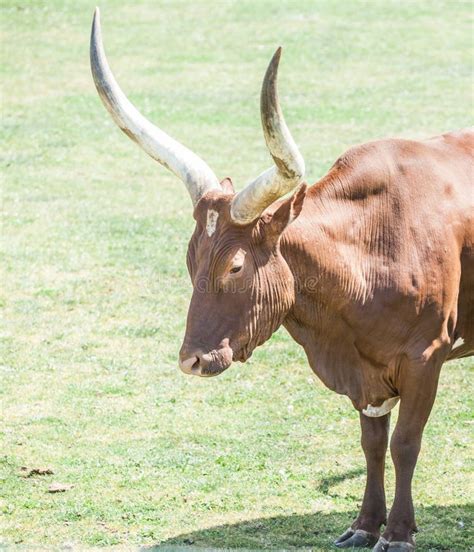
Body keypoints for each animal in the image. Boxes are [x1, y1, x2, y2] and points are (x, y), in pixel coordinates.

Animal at [90, 9, 472, 552]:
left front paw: (398, 532)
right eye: (189, 258)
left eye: (235, 266)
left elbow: (404, 443)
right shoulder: (367, 376)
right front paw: (364, 523)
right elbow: (373, 443)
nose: (191, 360)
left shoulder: (425, 358)